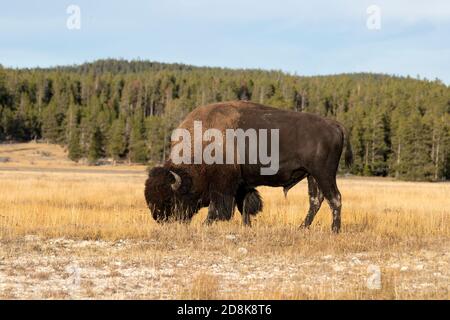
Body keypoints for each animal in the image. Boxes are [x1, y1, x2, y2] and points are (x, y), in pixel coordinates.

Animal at [144, 100, 352, 232]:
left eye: (170, 198)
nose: (160, 218)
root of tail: (334, 125)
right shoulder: (241, 184)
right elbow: (244, 205)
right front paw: (247, 226)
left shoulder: (223, 186)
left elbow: (218, 209)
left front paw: (205, 225)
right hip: (311, 175)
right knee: (316, 200)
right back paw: (302, 228)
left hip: (324, 173)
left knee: (335, 198)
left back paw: (334, 230)